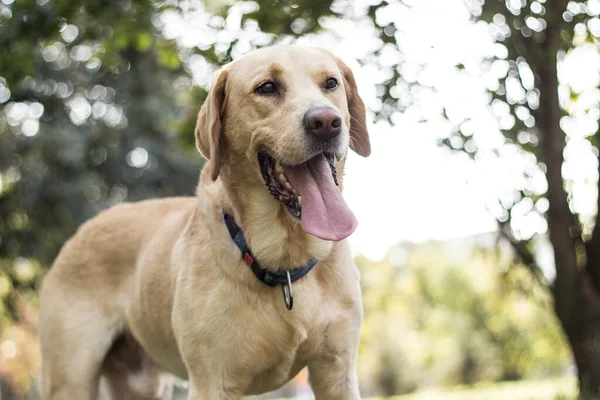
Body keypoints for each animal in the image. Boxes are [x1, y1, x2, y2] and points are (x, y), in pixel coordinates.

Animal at [38, 46, 370, 400]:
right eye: (267, 87)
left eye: (331, 83)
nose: (326, 122)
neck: (285, 263)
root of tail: (82, 230)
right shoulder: (212, 381)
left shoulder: (337, 373)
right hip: (70, 378)